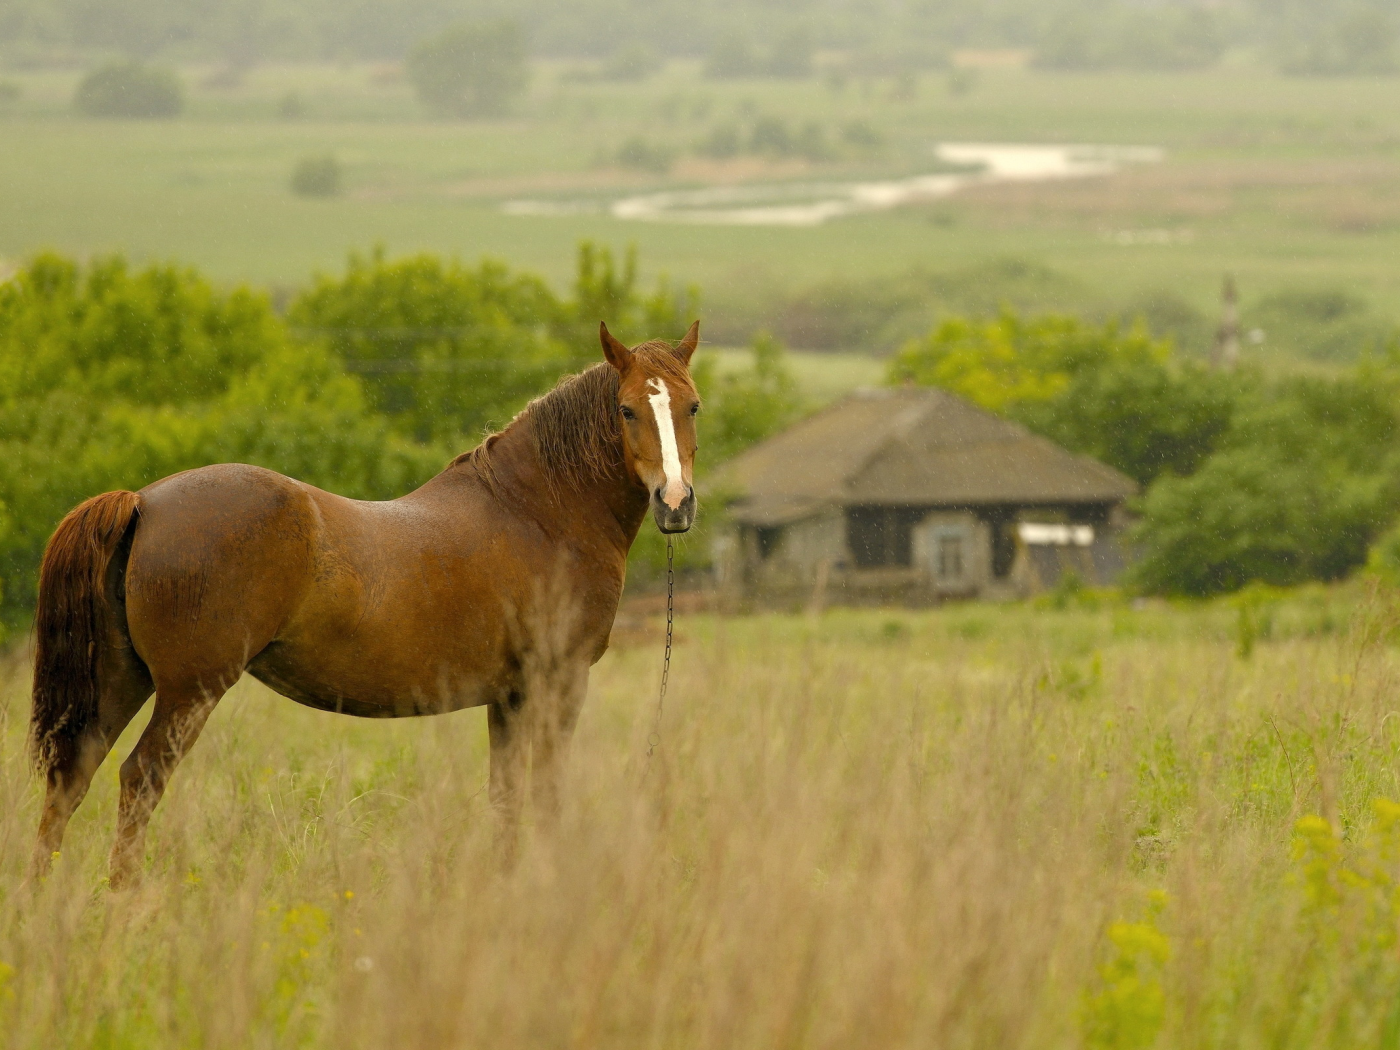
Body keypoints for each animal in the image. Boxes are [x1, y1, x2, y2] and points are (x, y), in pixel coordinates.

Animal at [21, 320, 700, 890]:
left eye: (691, 405)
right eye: (627, 409)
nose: (675, 502)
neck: (538, 511)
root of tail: (143, 502)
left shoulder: (509, 696)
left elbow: (506, 796)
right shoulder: (558, 682)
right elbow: (547, 792)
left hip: (121, 678)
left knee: (72, 777)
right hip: (189, 691)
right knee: (139, 780)